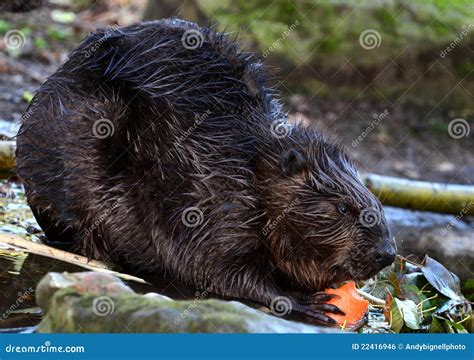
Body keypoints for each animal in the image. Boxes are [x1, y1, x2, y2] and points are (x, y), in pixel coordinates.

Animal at [15, 18, 396, 324]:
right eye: (342, 207)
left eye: (377, 205)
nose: (388, 254)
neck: (249, 164)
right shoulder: (211, 204)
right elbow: (216, 268)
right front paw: (307, 302)